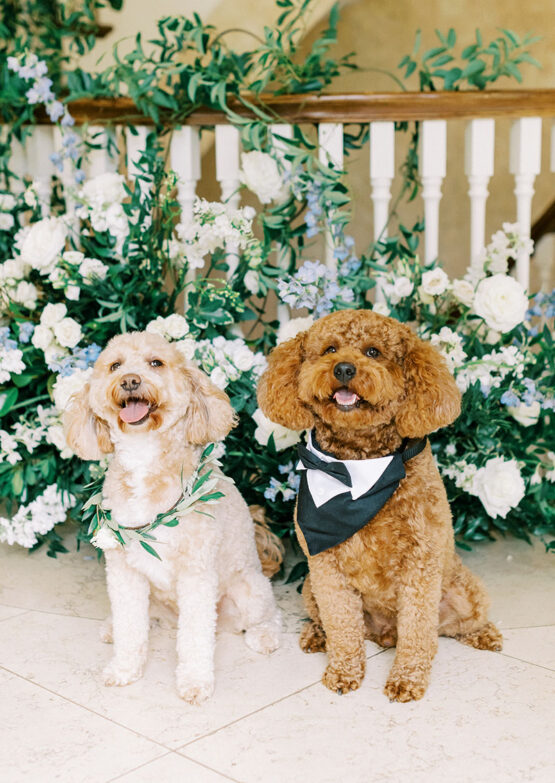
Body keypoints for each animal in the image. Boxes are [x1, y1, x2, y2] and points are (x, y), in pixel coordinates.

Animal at [64, 330, 280, 704]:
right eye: (115, 365)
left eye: (156, 363)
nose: (130, 381)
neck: (143, 456)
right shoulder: (124, 573)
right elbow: (131, 628)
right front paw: (125, 668)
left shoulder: (196, 574)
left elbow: (195, 638)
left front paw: (194, 682)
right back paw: (114, 627)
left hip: (250, 590)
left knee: (270, 616)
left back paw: (264, 636)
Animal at [258, 310, 502, 704]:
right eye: (329, 349)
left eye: (373, 351)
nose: (343, 368)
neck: (358, 467)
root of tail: (386, 633)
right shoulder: (327, 568)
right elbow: (343, 625)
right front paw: (343, 672)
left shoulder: (420, 564)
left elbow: (418, 630)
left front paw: (407, 680)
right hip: (310, 589)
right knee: (329, 621)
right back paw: (316, 636)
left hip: (466, 591)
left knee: (456, 625)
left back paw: (485, 634)